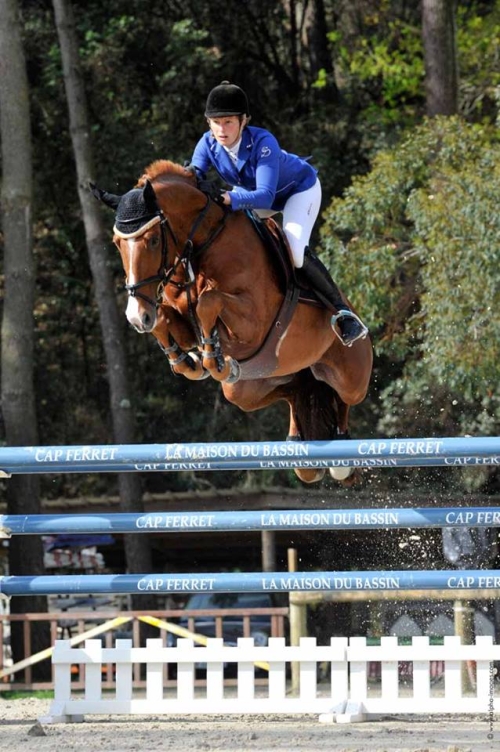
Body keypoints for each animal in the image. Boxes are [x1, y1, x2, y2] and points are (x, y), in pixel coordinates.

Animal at [91, 161, 372, 484]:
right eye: (116, 243)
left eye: (152, 240)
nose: (137, 317)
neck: (203, 246)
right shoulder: (182, 322)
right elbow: (166, 319)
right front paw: (189, 361)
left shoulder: (254, 323)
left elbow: (209, 301)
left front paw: (211, 357)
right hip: (245, 390)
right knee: (294, 391)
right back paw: (294, 439)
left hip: (351, 377)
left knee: (343, 398)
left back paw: (342, 455)